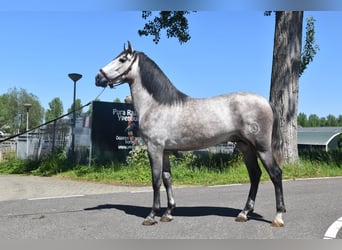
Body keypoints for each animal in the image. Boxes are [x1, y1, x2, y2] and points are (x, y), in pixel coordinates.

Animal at [95, 42, 284, 227]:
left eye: (122, 59)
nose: (98, 78)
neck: (156, 105)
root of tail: (266, 102)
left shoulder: (154, 148)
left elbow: (156, 180)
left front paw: (151, 215)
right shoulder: (165, 151)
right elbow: (167, 178)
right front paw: (168, 212)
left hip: (262, 148)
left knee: (275, 174)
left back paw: (278, 217)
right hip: (246, 147)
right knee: (255, 175)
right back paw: (244, 213)